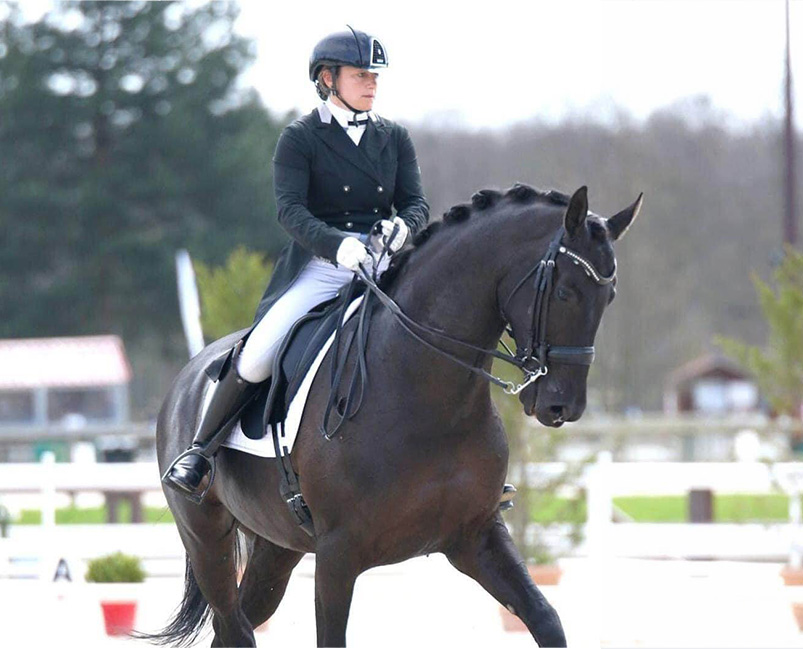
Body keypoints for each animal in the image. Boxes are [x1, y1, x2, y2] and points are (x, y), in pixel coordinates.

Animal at [148, 181, 644, 644]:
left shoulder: (475, 535)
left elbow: (546, 619)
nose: (562, 406)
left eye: (611, 297)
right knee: (232, 624)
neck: (426, 396)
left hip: (275, 548)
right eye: (564, 291)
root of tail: (188, 374)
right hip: (206, 538)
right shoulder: (337, 554)